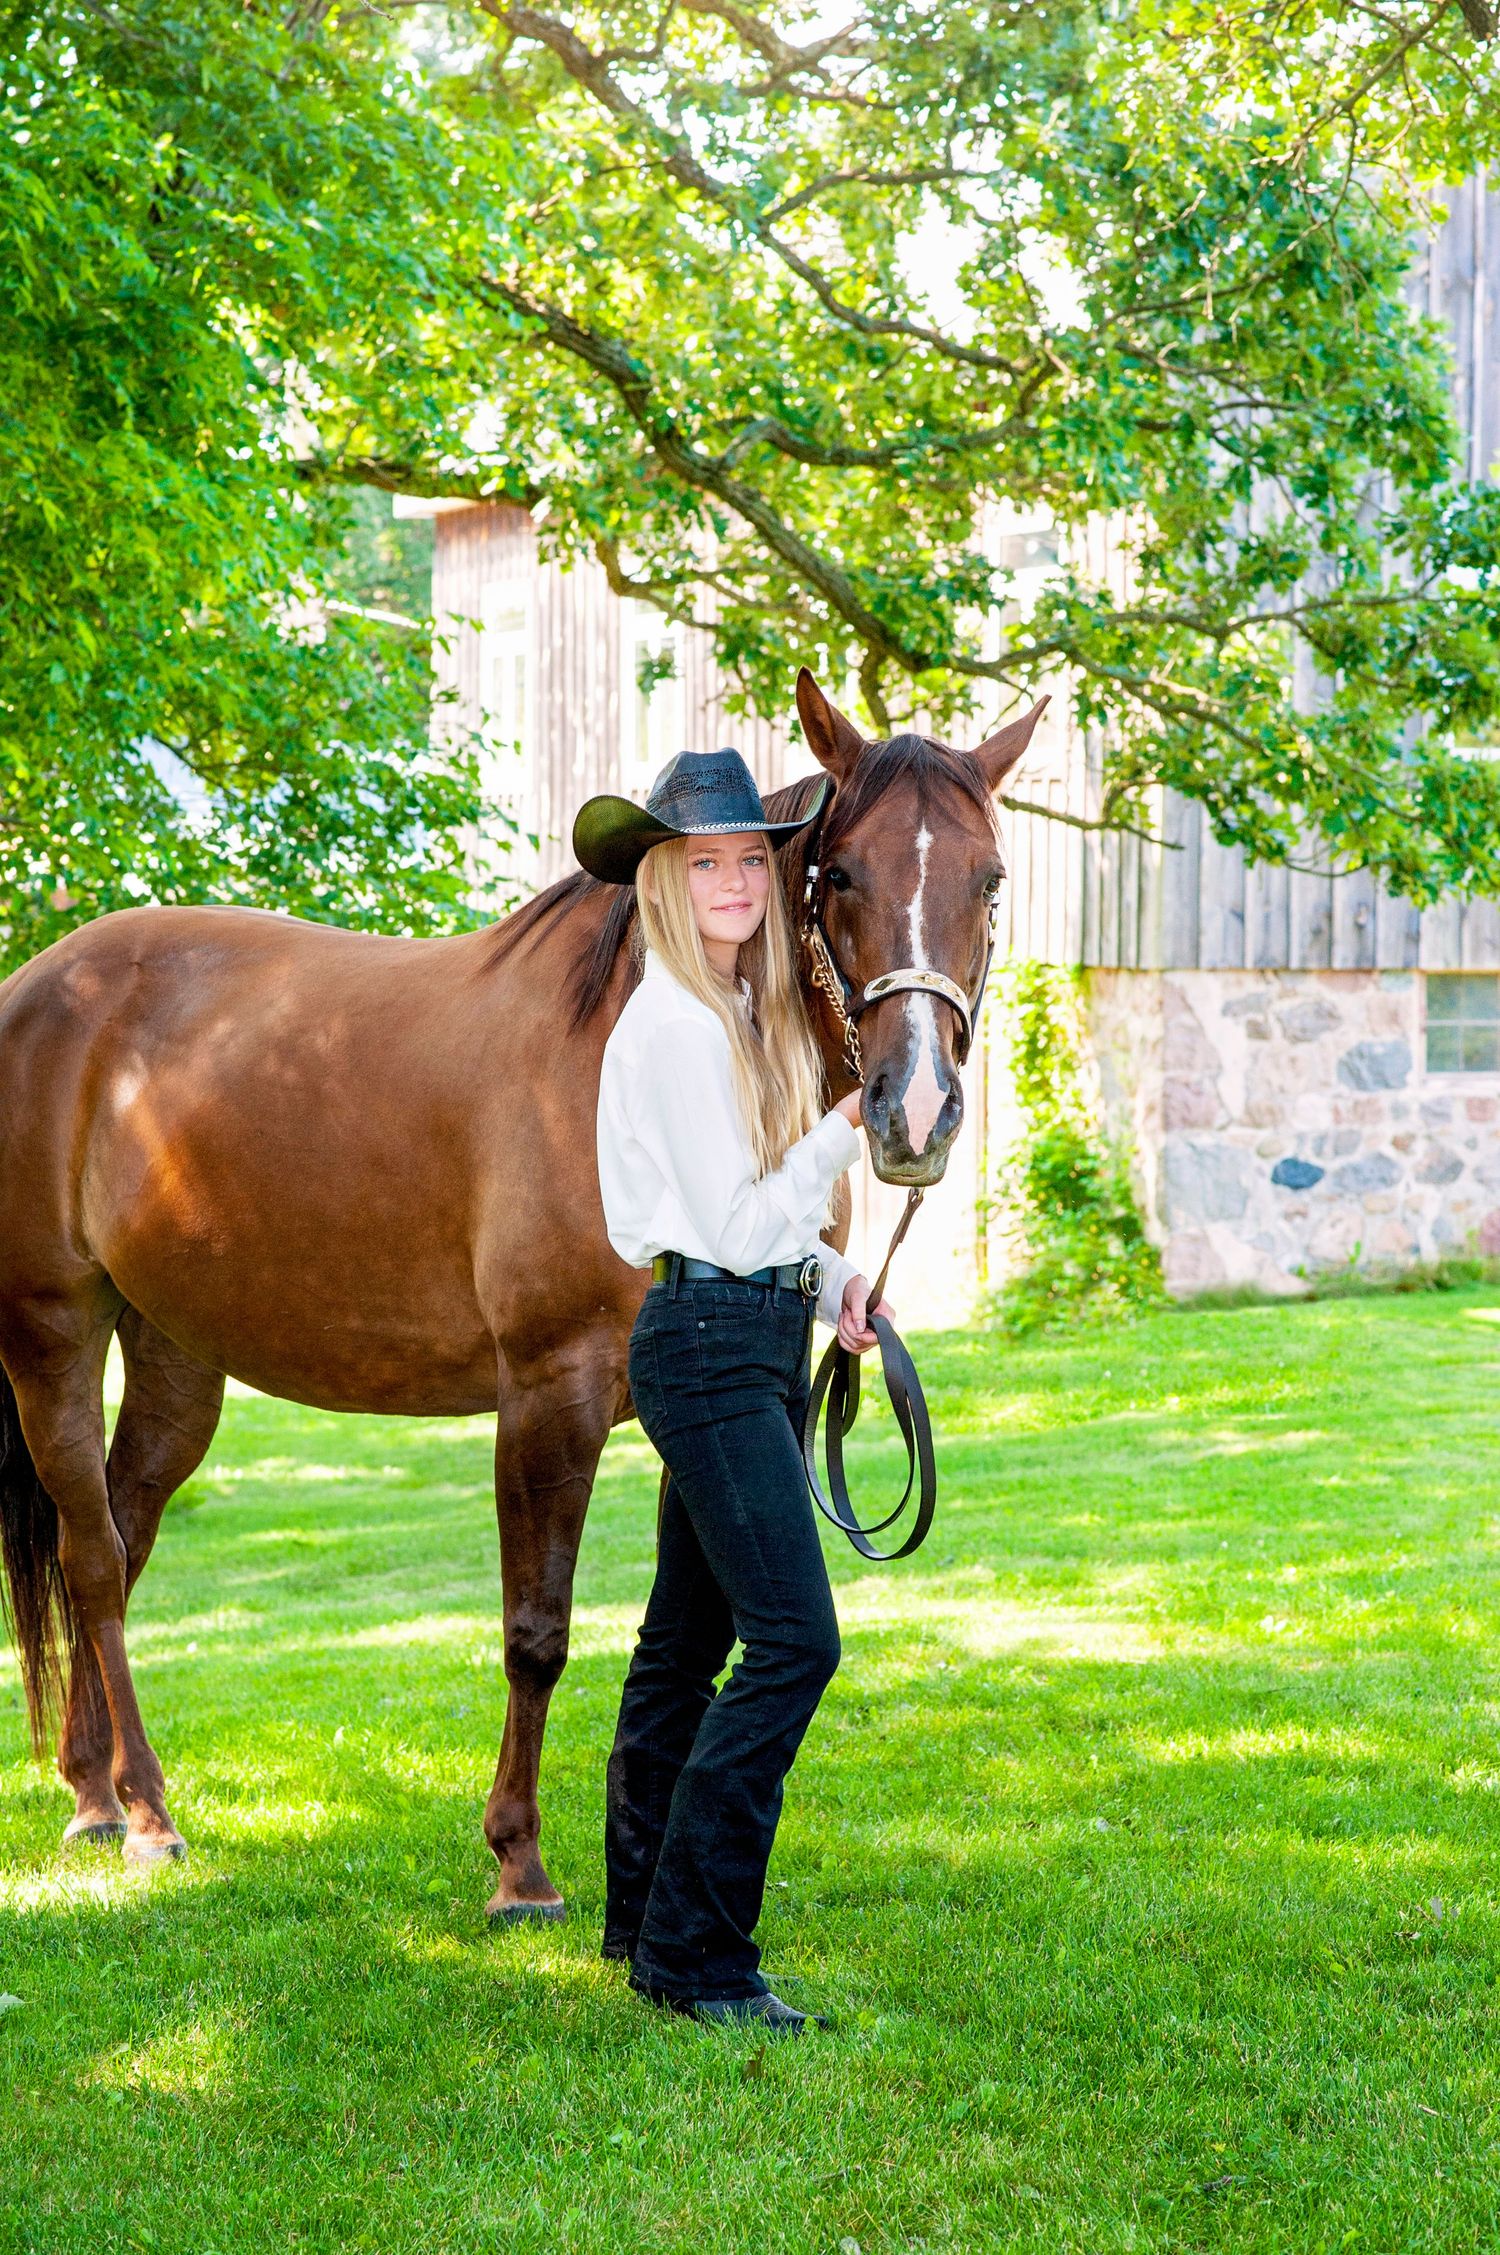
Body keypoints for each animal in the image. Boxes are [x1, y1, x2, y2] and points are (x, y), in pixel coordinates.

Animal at [0, 672, 1045, 1920]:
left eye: (990, 879)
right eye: (840, 873)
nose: (915, 1110)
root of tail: (40, 983)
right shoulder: (551, 1392)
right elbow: (536, 1632)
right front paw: (520, 1864)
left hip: (171, 1351)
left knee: (113, 1538)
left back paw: (95, 1789)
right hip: (53, 1333)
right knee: (93, 1556)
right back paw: (147, 1812)